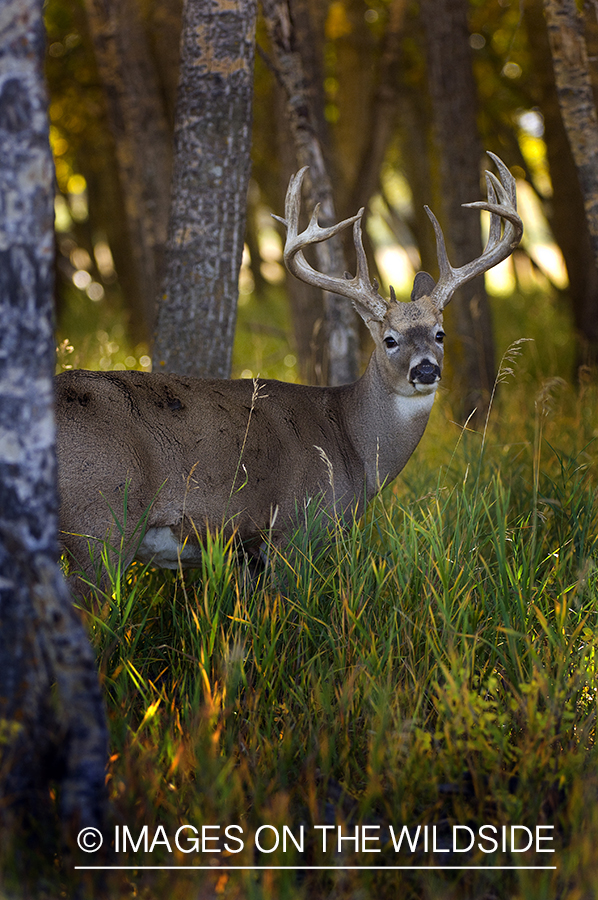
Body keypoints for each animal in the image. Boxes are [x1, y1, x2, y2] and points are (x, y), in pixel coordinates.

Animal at [56, 150, 524, 596]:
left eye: (440, 334)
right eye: (390, 339)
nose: (425, 368)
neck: (351, 445)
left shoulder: (245, 551)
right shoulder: (294, 528)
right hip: (103, 524)